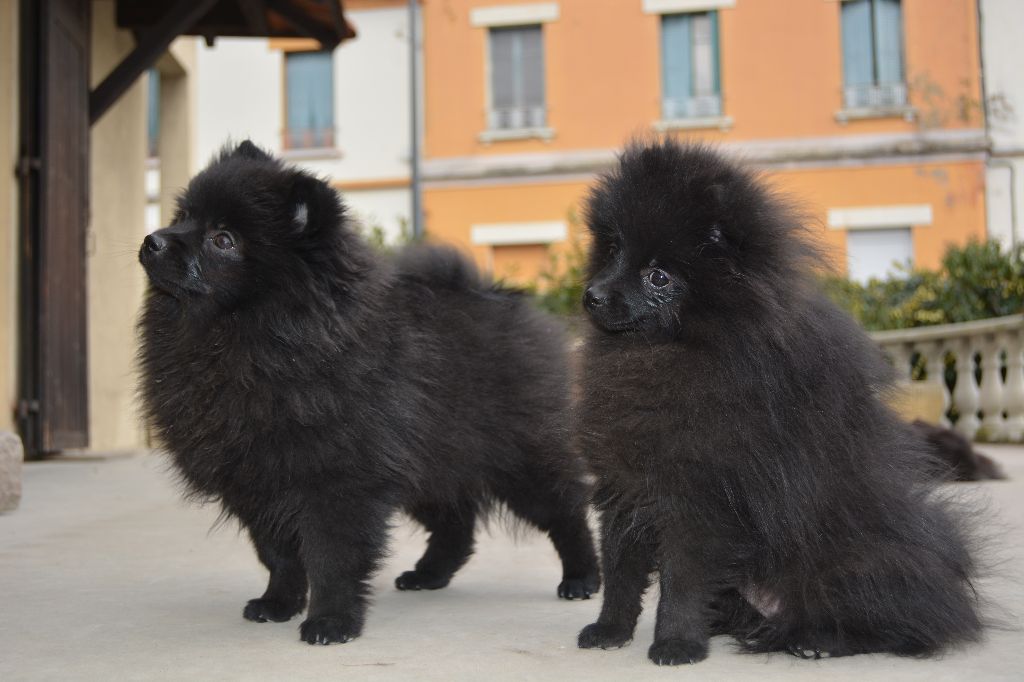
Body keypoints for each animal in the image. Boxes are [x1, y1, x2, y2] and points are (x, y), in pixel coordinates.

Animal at [137, 142, 598, 643]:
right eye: (183, 216)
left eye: (223, 239)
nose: (153, 239)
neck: (253, 339)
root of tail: (500, 298)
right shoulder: (257, 482)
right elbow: (279, 555)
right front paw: (278, 603)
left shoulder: (339, 479)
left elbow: (333, 557)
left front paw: (331, 620)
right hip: (430, 465)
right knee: (456, 523)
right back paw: (429, 574)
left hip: (518, 459)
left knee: (565, 509)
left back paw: (582, 577)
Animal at [573, 139, 978, 663]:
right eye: (614, 250)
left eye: (658, 276)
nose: (593, 295)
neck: (664, 352)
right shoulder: (622, 486)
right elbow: (620, 570)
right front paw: (610, 630)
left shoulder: (698, 498)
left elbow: (683, 581)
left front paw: (677, 643)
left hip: (852, 559)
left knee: (891, 622)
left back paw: (817, 642)